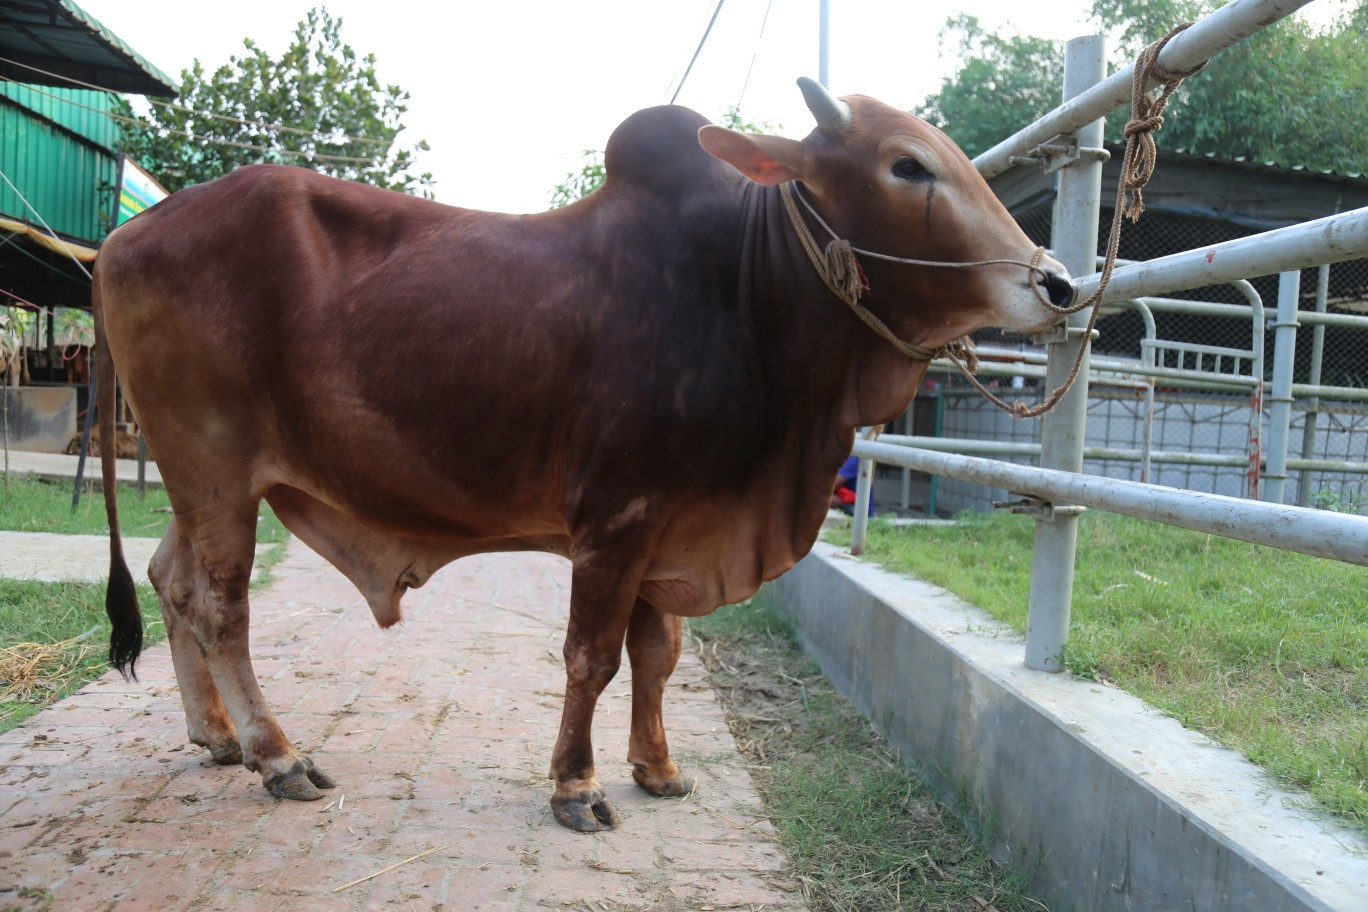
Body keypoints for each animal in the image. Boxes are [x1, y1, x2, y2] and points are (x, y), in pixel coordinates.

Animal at [94, 79, 1072, 832]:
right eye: (907, 165)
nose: (1058, 282)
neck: (744, 289)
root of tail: (122, 238)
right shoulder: (618, 518)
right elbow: (592, 656)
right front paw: (577, 785)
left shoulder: (673, 522)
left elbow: (658, 653)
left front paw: (658, 769)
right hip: (212, 467)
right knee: (221, 607)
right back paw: (278, 756)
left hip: (204, 482)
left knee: (171, 579)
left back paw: (217, 737)